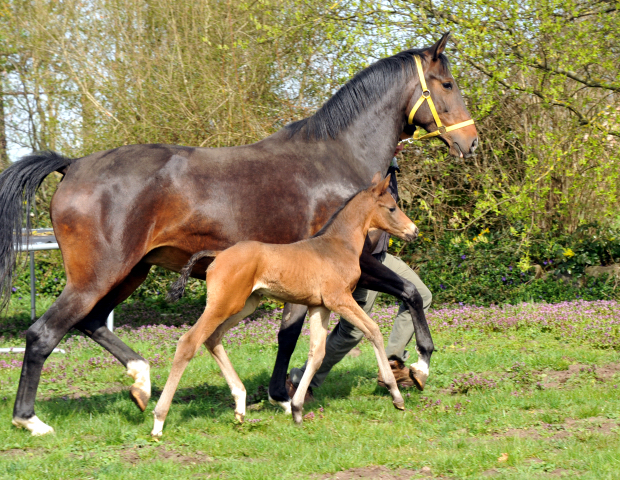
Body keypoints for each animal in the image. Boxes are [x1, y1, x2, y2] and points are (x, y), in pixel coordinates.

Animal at [153, 172, 418, 436]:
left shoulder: (320, 306)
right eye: (392, 208)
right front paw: (396, 396)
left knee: (213, 338)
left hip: (245, 305)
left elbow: (317, 353)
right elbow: (373, 331)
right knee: (189, 342)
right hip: (223, 304)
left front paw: (297, 410)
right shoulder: (339, 299)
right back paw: (159, 420)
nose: (413, 231)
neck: (338, 245)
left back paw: (240, 404)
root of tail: (218, 255)